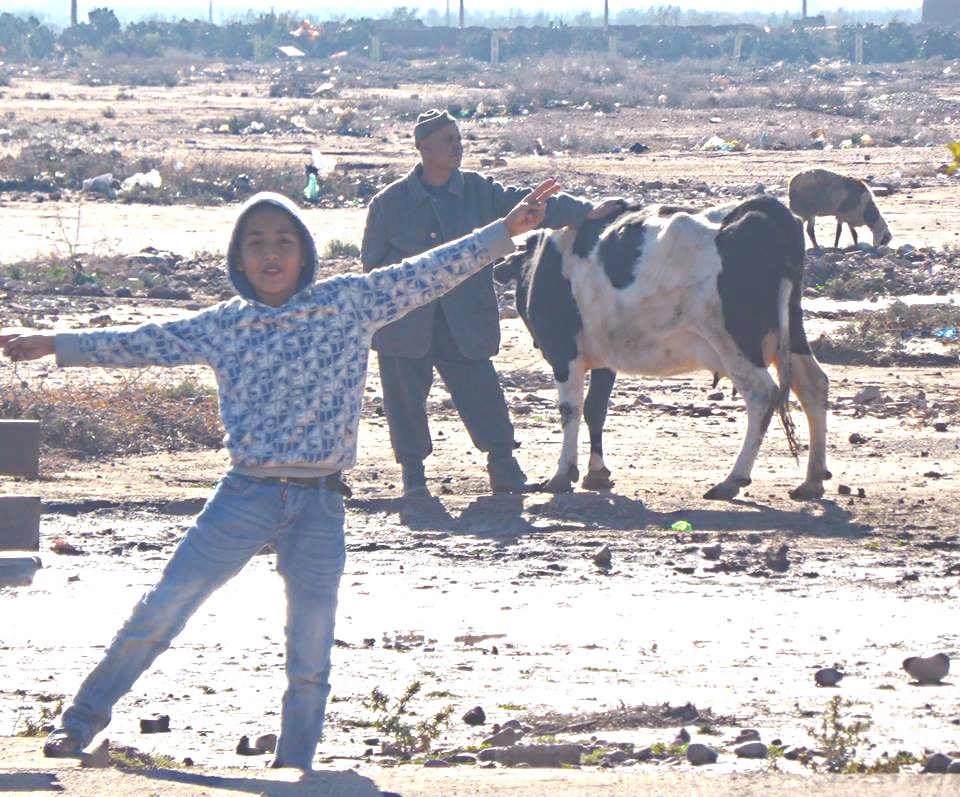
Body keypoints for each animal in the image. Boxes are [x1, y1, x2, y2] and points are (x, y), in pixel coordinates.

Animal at [496, 194, 832, 500]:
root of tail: (763, 209)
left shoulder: (563, 352)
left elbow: (571, 410)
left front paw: (563, 473)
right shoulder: (605, 356)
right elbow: (595, 409)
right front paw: (597, 473)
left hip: (735, 341)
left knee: (762, 395)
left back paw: (733, 479)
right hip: (790, 330)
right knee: (813, 385)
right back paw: (812, 480)